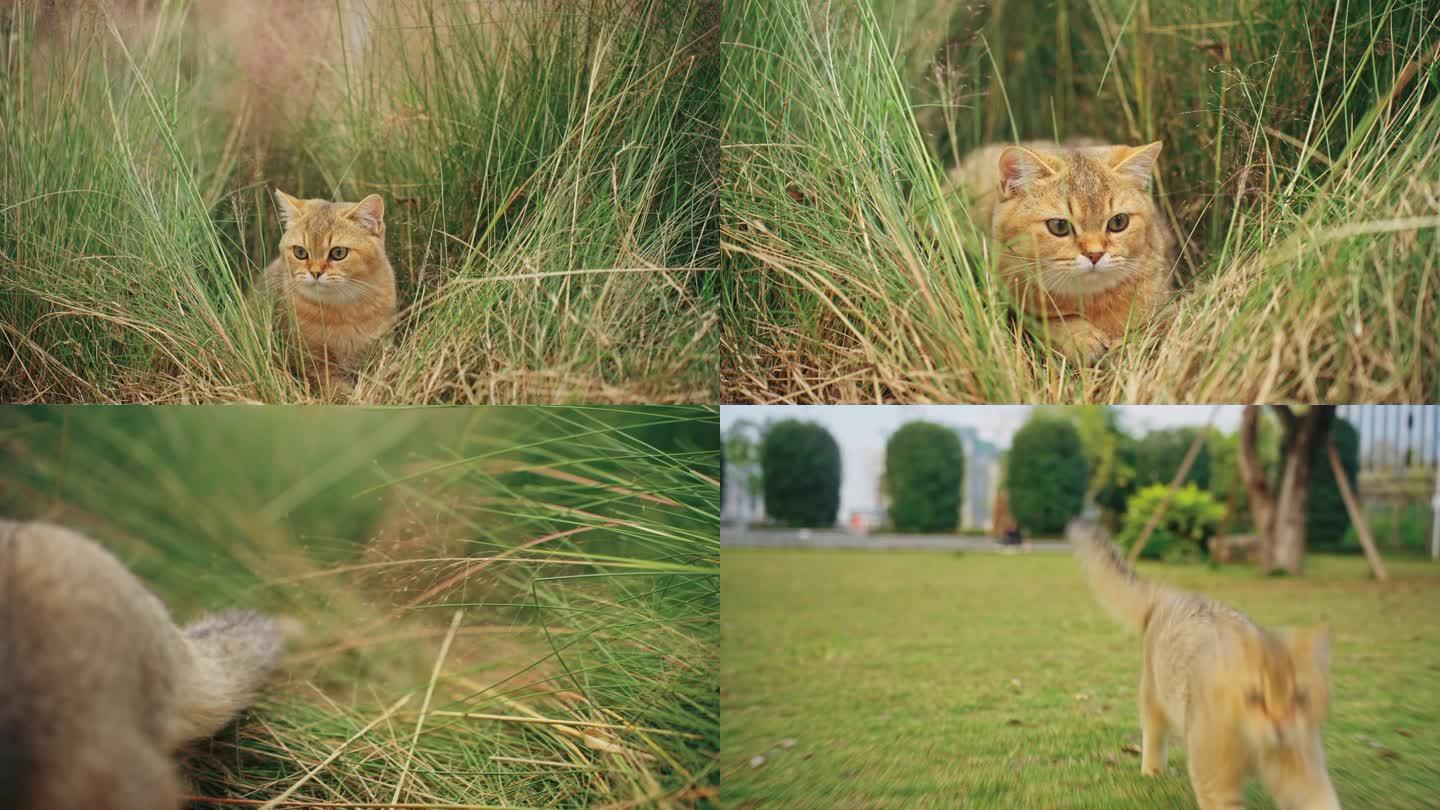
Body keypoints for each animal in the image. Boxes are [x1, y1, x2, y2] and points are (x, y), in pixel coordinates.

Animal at [264, 188, 397, 380]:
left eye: (338, 252)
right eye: (300, 252)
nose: (315, 272)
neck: (343, 309)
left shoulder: (380, 346)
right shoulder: (315, 362)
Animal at [950, 140, 1175, 360]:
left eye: (1118, 222)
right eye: (1059, 226)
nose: (1095, 254)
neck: (1091, 300)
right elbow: (1053, 321)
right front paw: (1082, 337)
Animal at [1077, 524, 1342, 807]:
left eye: (1300, 697)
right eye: (1254, 696)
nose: (1280, 728)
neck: (1256, 747)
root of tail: (1171, 593)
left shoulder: (1302, 772)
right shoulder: (1215, 780)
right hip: (1153, 695)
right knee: (1153, 733)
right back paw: (1152, 770)